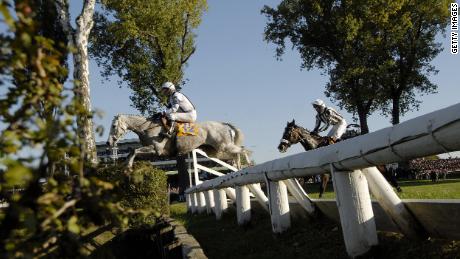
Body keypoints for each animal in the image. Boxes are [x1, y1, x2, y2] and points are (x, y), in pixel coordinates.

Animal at [107, 114, 250, 168]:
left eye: (113, 126)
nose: (108, 143)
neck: (147, 128)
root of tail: (224, 124)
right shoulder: (152, 153)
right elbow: (132, 151)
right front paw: (125, 164)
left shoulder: (156, 150)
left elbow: (134, 150)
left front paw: (129, 165)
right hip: (215, 151)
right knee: (236, 154)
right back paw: (237, 166)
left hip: (224, 146)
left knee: (243, 150)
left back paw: (247, 164)